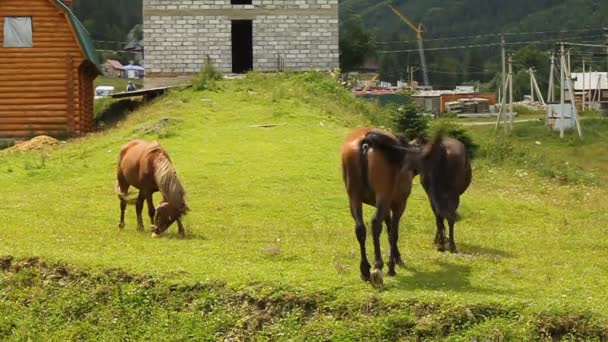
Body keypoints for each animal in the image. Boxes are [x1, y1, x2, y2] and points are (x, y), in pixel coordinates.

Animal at [342, 128, 418, 286]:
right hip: (383, 195)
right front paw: (393, 264)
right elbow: (393, 233)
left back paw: (365, 269)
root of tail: (366, 142)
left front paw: (395, 258)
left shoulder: (385, 206)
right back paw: (378, 265)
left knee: (360, 228)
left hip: (354, 197)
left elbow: (389, 229)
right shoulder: (398, 204)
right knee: (376, 223)